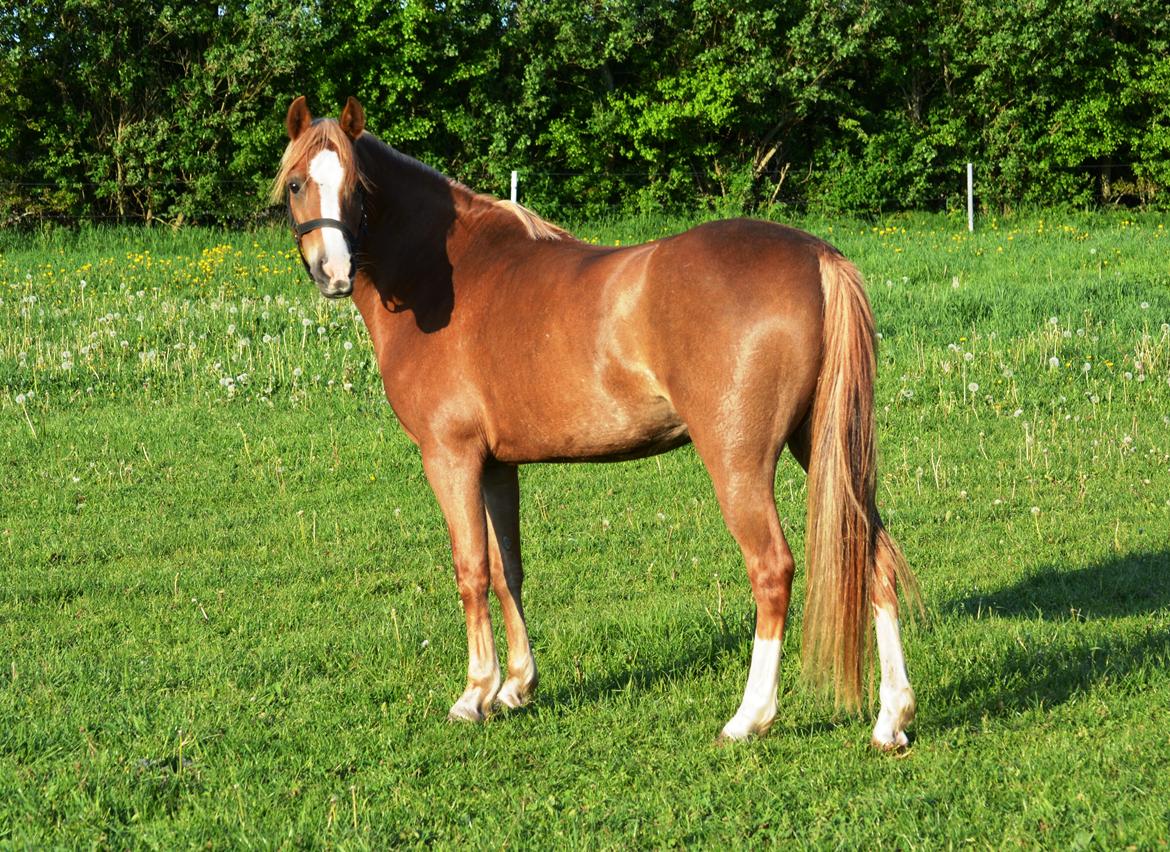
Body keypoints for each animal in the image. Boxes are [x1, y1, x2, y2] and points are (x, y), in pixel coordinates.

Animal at [273, 96, 919, 748]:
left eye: (357, 187)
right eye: (298, 183)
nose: (334, 273)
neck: (441, 275)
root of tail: (817, 257)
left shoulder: (450, 457)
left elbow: (472, 570)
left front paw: (475, 694)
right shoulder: (497, 465)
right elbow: (508, 570)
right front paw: (516, 686)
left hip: (739, 462)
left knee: (772, 570)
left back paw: (749, 716)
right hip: (826, 448)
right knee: (876, 558)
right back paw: (892, 717)